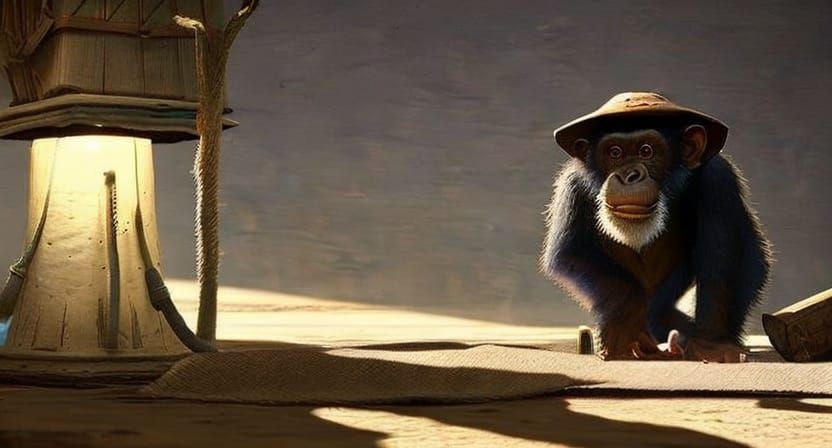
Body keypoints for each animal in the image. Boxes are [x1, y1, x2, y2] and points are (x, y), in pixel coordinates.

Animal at [541, 92, 772, 362]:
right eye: (615, 152)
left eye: (646, 151)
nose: (629, 175)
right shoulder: (573, 188)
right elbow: (570, 253)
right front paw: (625, 328)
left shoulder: (719, 178)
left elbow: (727, 258)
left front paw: (713, 343)